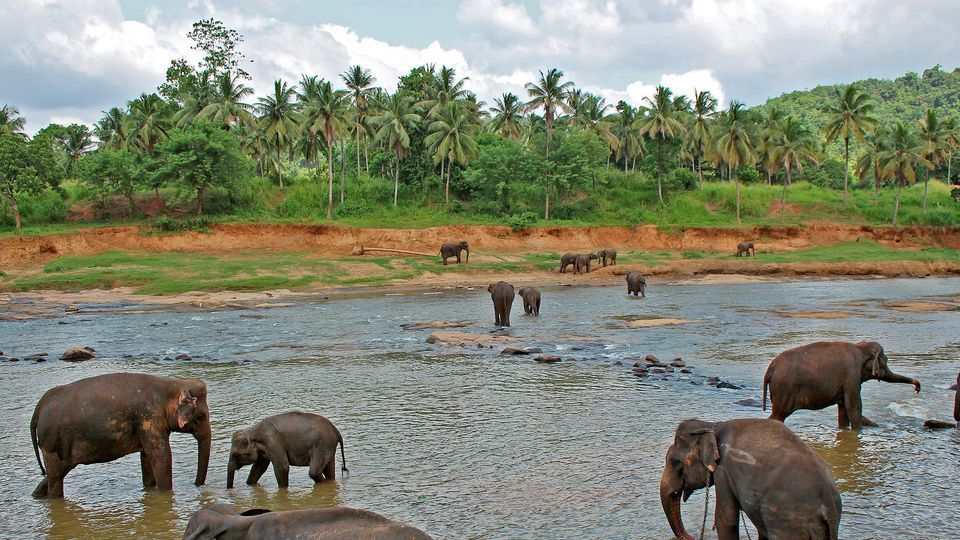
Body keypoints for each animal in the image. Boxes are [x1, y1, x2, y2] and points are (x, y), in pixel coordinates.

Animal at [30, 372, 210, 498]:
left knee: (56, 474)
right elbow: (162, 456)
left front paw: (150, 490)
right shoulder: (149, 418)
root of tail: (39, 409)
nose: (197, 485)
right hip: (53, 441)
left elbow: (147, 458)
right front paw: (165, 493)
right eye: (201, 416)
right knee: (56, 477)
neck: (173, 383)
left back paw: (38, 495)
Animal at [660, 418, 840, 540]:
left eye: (675, 462)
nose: (692, 536)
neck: (712, 426)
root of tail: (828, 506)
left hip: (788, 524)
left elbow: (726, 519)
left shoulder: (723, 470)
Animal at [760, 342, 920, 430]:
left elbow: (843, 407)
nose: (917, 387)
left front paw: (844, 429)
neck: (860, 347)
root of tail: (770, 369)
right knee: (778, 415)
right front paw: (857, 431)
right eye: (886, 361)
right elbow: (854, 406)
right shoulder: (852, 375)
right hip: (783, 389)